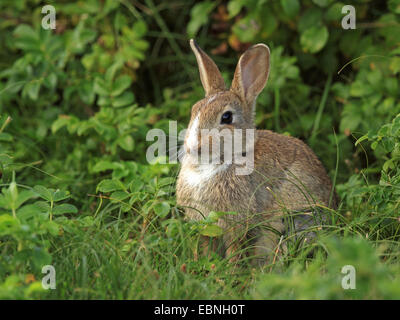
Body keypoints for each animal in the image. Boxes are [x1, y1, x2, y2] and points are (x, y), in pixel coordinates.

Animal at [177, 39, 336, 264]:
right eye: (194, 111)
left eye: (226, 117)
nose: (193, 147)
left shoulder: (236, 222)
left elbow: (235, 251)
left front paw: (230, 270)